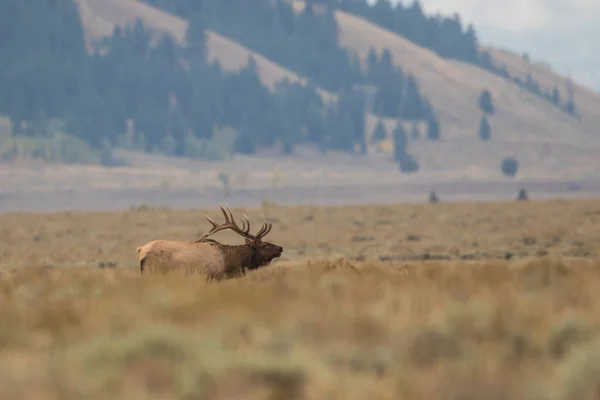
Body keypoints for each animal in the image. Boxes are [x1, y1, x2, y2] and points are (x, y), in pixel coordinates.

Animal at [136, 205, 284, 280]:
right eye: (264, 245)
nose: (281, 248)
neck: (229, 263)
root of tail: (141, 250)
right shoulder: (210, 276)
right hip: (153, 271)